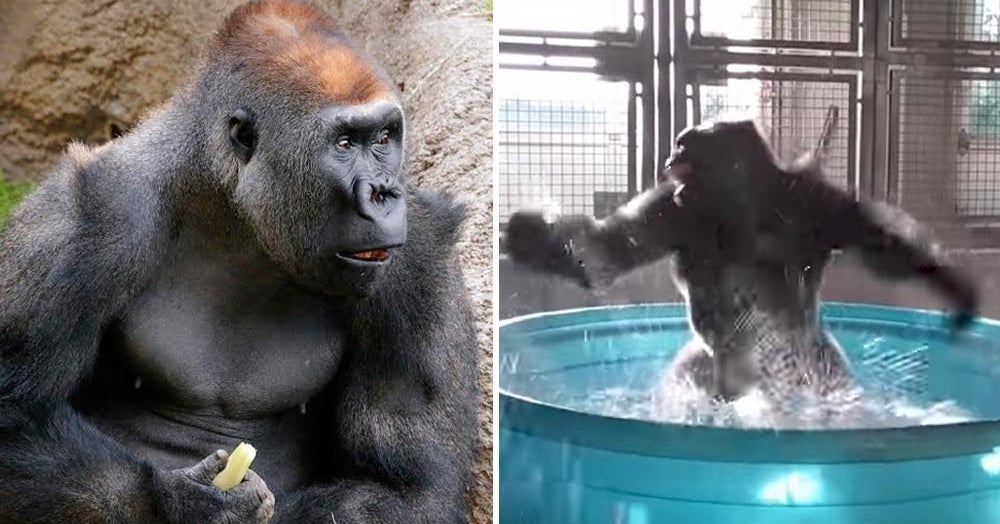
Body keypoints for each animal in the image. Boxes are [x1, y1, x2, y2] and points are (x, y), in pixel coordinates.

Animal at [0, 2, 477, 523]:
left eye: (385, 138)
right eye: (345, 144)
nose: (385, 193)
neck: (233, 213)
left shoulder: (418, 260)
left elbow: (405, 488)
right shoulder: (84, 216)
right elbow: (14, 416)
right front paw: (184, 503)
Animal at [504, 119, 978, 416]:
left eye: (685, 145)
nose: (672, 155)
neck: (745, 205)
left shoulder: (818, 201)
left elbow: (880, 241)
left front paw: (950, 284)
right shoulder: (669, 211)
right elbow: (608, 250)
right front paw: (528, 237)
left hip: (819, 366)